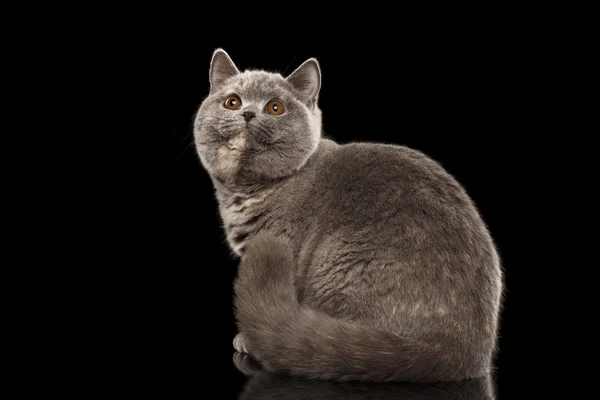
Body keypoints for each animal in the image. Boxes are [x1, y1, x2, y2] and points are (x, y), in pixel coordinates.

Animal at [192, 48, 502, 382]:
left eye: (275, 108)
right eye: (232, 102)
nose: (248, 113)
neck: (249, 191)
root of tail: (460, 352)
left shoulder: (285, 243)